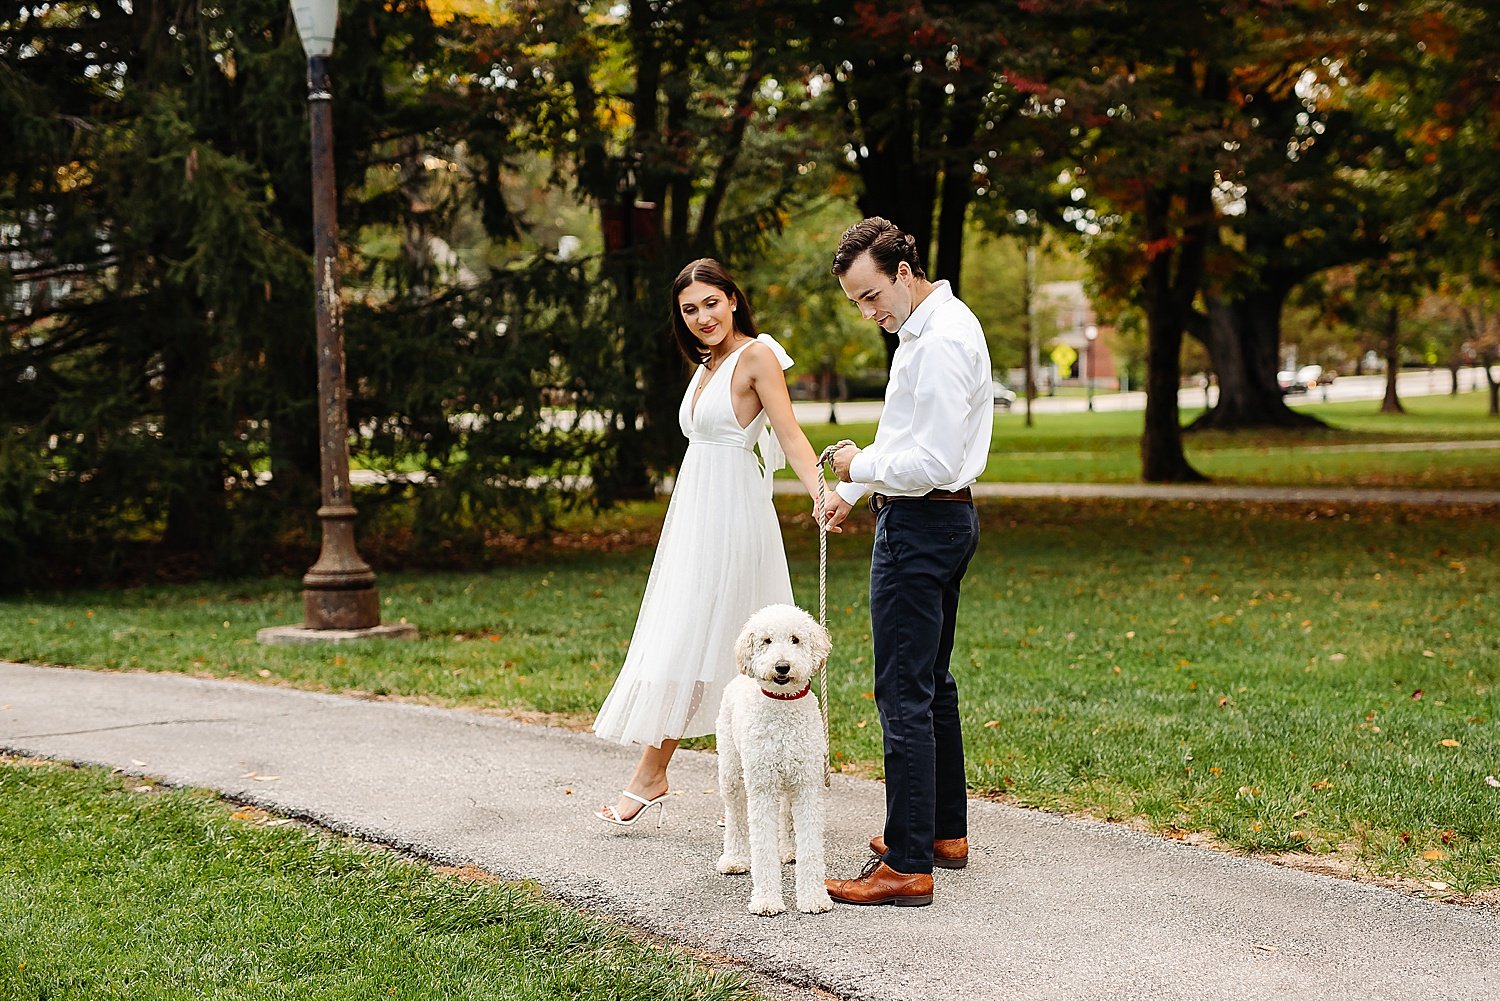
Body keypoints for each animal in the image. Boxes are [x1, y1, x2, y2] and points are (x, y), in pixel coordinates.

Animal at [714, 603, 834, 918]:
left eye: (795, 639)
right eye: (766, 641)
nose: (782, 667)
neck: (782, 705)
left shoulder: (807, 786)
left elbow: (811, 846)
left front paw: (813, 897)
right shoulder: (762, 788)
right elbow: (762, 849)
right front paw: (767, 900)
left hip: (789, 781)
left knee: (786, 814)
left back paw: (789, 850)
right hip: (732, 772)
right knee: (735, 816)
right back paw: (734, 858)